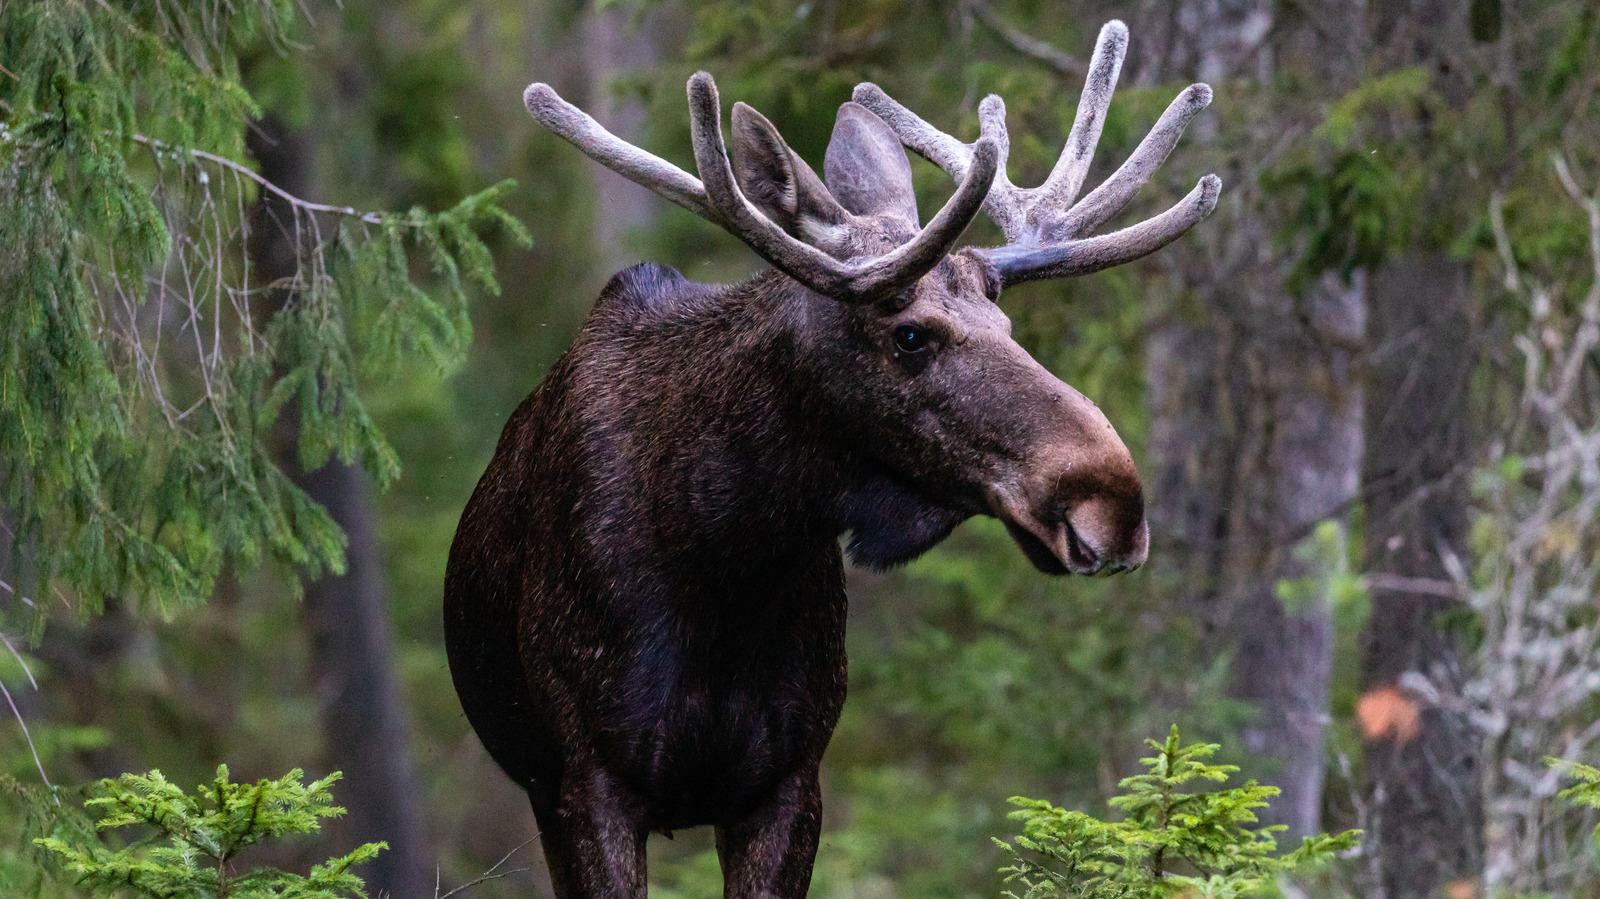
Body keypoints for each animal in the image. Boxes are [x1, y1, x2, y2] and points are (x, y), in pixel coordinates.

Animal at [444, 20, 1218, 899]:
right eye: (909, 334)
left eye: (1008, 325)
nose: (1113, 501)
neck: (725, 557)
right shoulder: (588, 782)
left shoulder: (790, 780)